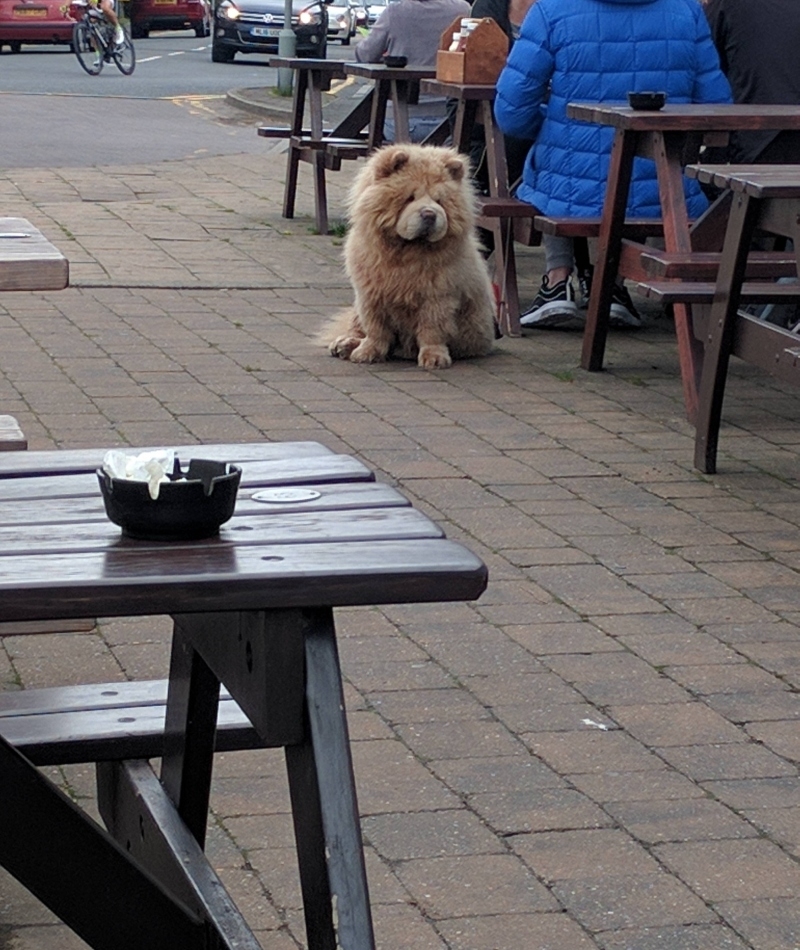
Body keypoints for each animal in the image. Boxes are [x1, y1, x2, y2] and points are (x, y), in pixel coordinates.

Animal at [320, 143, 496, 370]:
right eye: (410, 197)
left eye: (439, 201)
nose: (430, 214)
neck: (406, 252)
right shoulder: (371, 294)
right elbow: (375, 327)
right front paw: (367, 352)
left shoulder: (438, 296)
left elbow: (432, 328)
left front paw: (434, 357)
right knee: (356, 326)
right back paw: (345, 343)